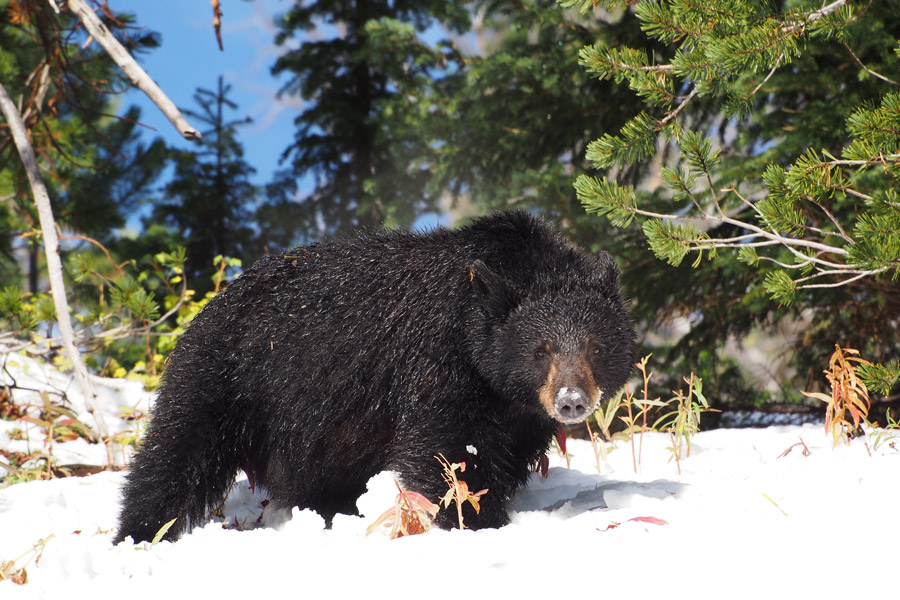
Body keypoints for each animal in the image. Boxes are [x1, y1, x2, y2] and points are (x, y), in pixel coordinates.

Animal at [114, 211, 632, 544]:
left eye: (595, 346)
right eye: (540, 350)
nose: (571, 400)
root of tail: (208, 309)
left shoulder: (519, 409)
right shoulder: (437, 358)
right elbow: (447, 448)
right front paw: (478, 521)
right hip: (224, 379)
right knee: (174, 455)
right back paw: (139, 533)